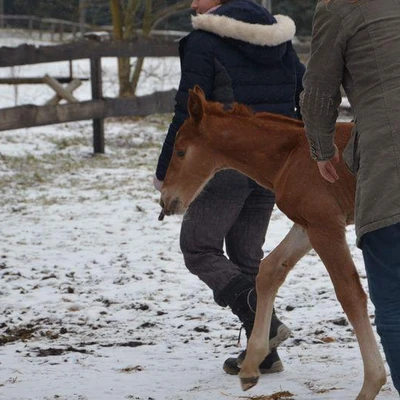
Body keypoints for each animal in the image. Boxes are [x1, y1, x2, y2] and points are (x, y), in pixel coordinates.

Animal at [159, 86, 388, 398]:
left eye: (181, 151)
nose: (166, 200)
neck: (291, 156)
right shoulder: (307, 226)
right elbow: (269, 270)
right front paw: (250, 367)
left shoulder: (325, 225)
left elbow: (349, 293)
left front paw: (372, 383)